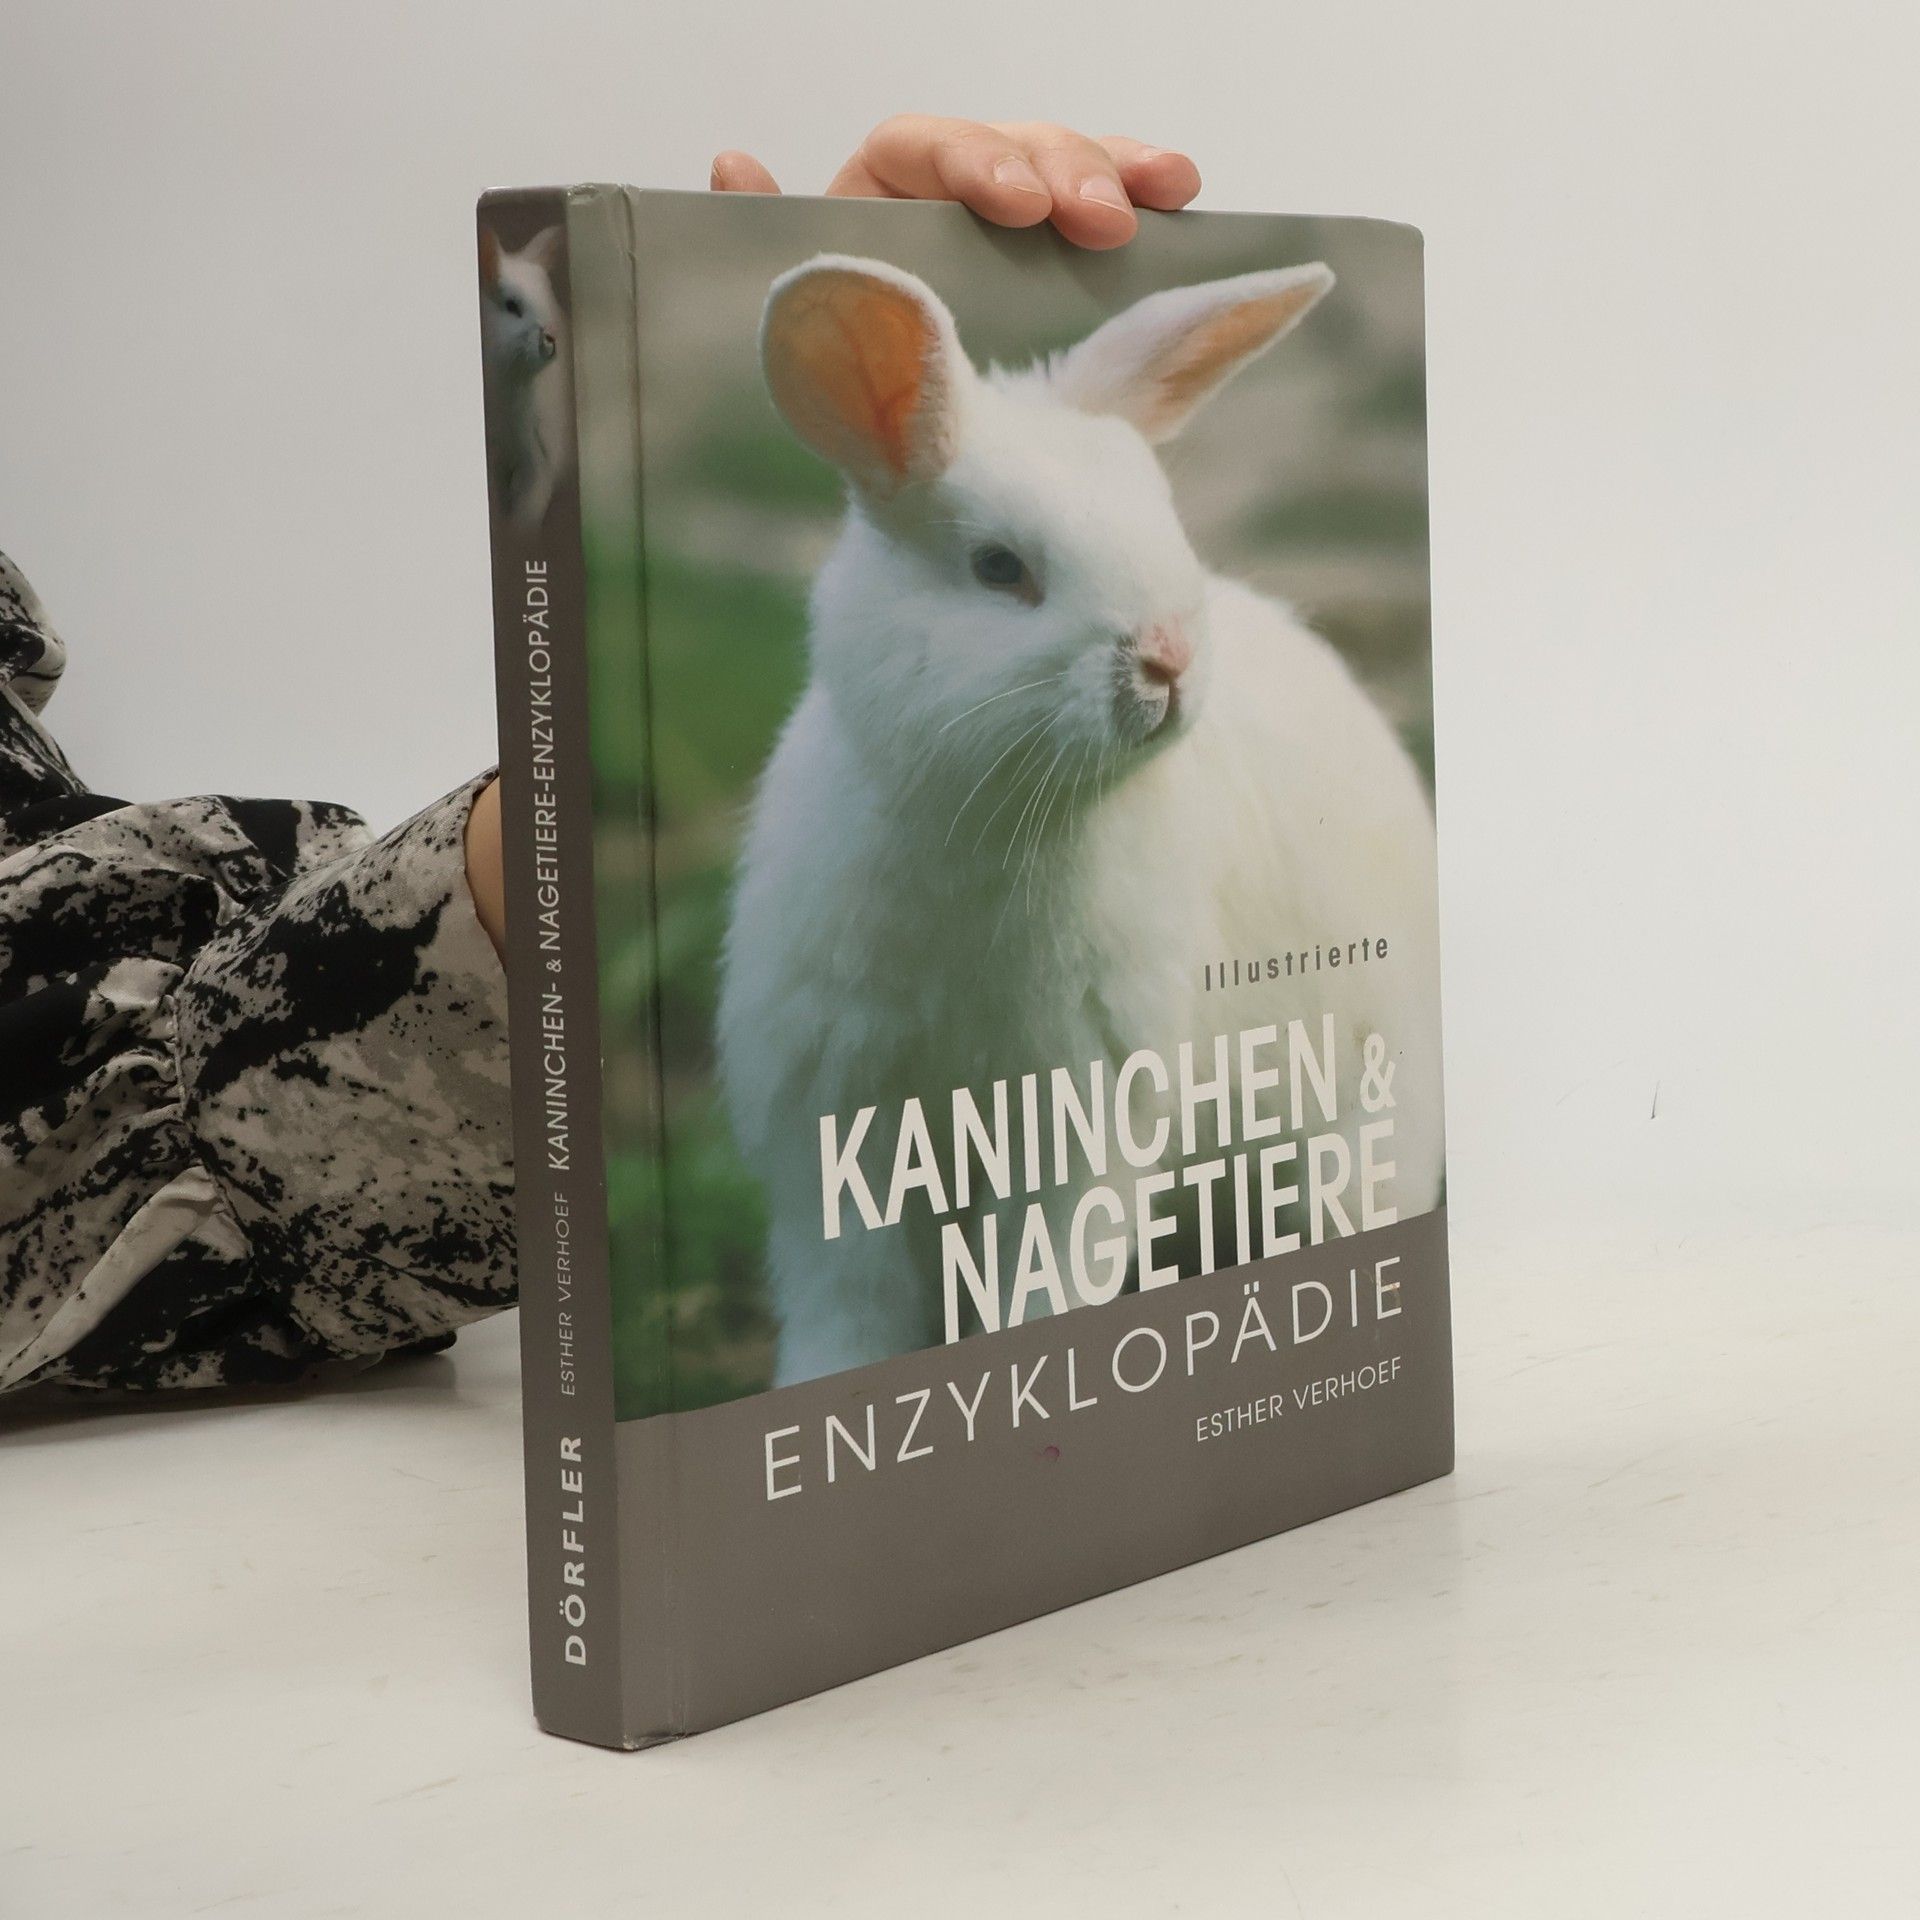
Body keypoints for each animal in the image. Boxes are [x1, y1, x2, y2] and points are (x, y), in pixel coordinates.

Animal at [718, 251, 1444, 1388]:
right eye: (999, 568)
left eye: (1167, 527)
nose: (1168, 659)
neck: (988, 828)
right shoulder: (831, 1120)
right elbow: (852, 1305)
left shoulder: (1087, 1112)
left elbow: (1045, 1275)